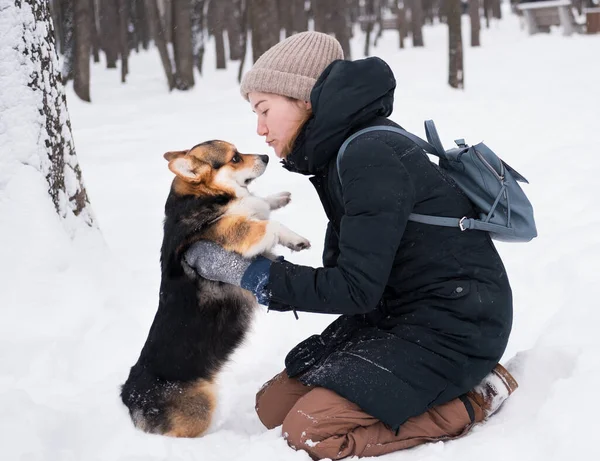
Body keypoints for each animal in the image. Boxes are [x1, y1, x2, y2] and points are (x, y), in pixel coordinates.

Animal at [120, 139, 312, 434]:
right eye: (235, 158)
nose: (266, 156)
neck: (208, 195)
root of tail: (131, 397)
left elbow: (263, 206)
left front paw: (279, 199)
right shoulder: (240, 235)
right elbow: (269, 223)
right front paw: (295, 237)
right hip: (202, 407)